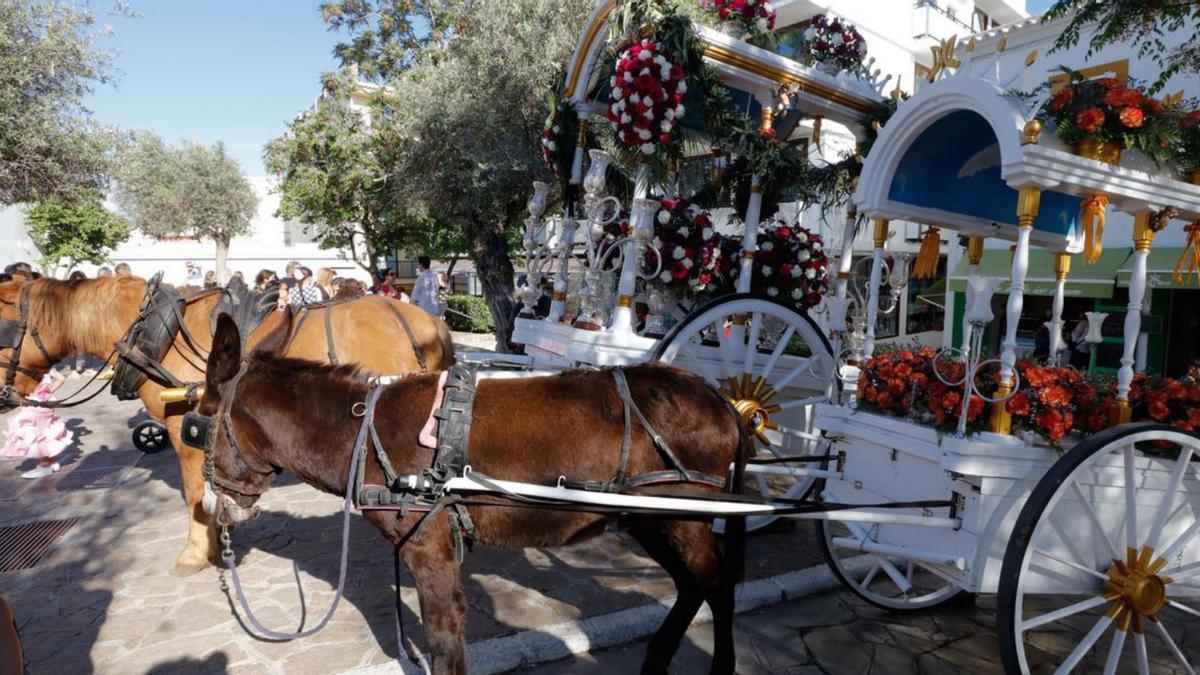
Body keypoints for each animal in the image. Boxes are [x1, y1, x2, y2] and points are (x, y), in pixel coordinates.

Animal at [0, 273, 453, 571]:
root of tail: (431, 323)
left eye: (3, 331)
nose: (4, 399)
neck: (158, 338)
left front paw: (196, 551)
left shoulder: (186, 431)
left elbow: (193, 495)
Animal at [200, 312, 744, 667]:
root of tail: (720, 396)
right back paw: (657, 656)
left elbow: (443, 636)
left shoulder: (428, 548)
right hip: (651, 519)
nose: (210, 509)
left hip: (682, 517)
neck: (360, 433)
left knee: (717, 584)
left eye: (199, 427)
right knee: (694, 585)